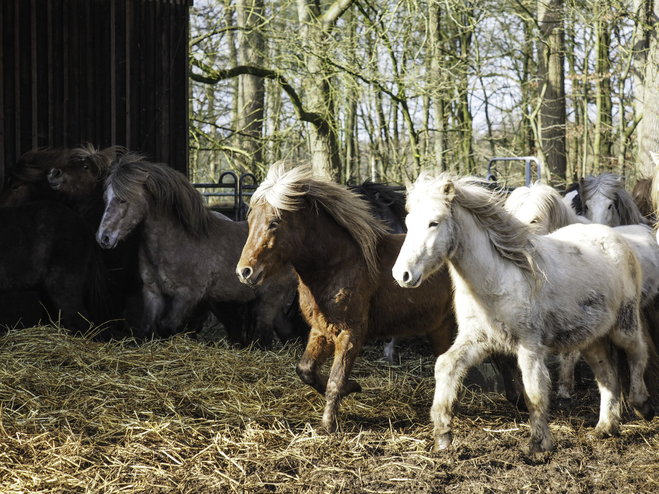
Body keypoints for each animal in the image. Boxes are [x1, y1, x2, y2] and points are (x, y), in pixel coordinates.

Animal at [237, 165, 458, 432]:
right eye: (250, 221)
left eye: (273, 223)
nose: (244, 272)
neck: (338, 264)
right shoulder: (320, 330)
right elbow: (306, 370)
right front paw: (353, 387)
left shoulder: (351, 333)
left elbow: (336, 379)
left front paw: (328, 425)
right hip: (440, 328)